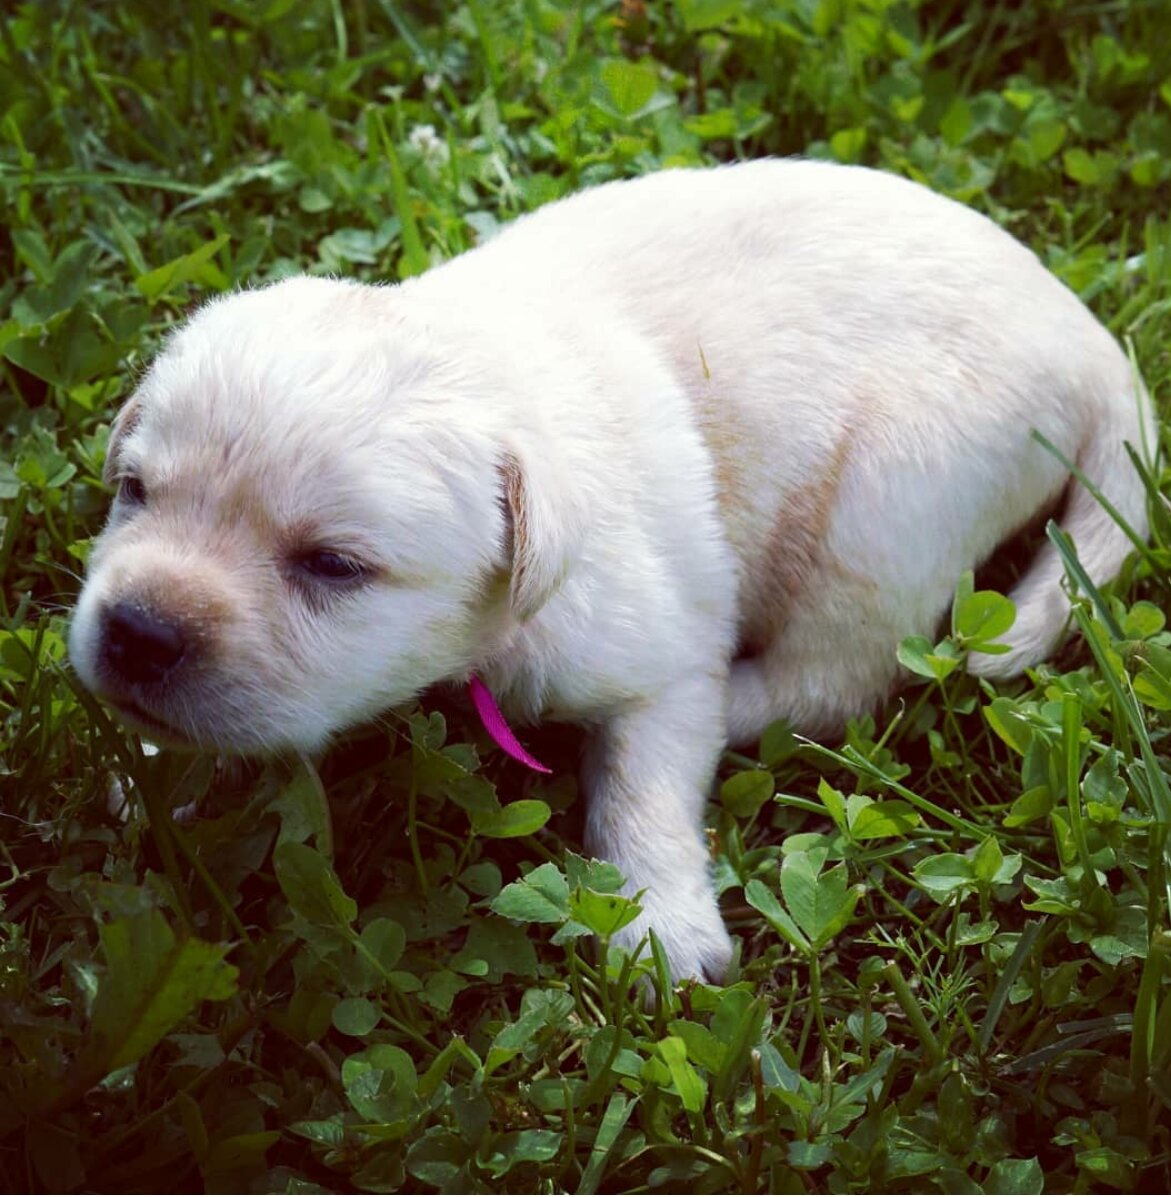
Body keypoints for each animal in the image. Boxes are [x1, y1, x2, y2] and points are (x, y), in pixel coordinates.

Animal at [70, 159, 1149, 981]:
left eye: (332, 566)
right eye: (133, 489)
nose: (138, 632)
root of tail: (1093, 344)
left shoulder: (653, 654)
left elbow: (645, 781)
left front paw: (662, 924)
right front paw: (160, 770)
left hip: (880, 509)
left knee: (831, 679)